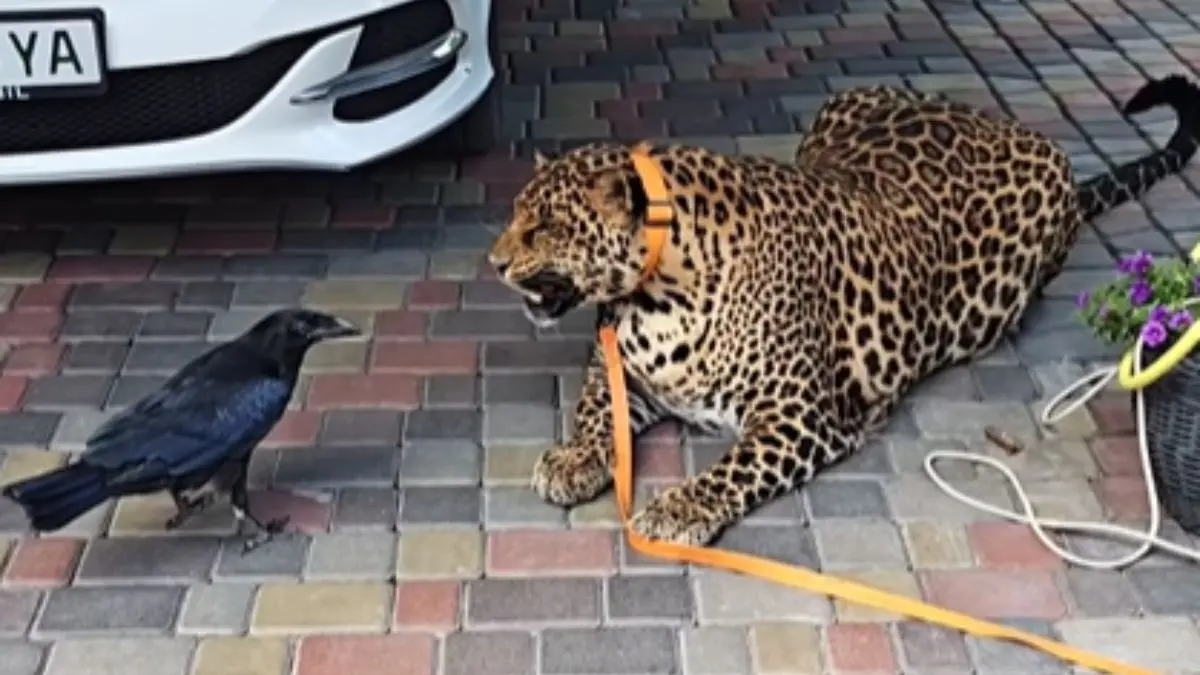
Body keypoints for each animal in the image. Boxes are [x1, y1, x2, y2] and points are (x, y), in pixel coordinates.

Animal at [486, 74, 1200, 547]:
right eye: (517, 214)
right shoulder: (626, 374)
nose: (493, 262)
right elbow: (596, 413)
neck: (656, 296)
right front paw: (575, 459)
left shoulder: (799, 417)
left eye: (544, 226)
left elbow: (733, 467)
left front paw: (681, 508)